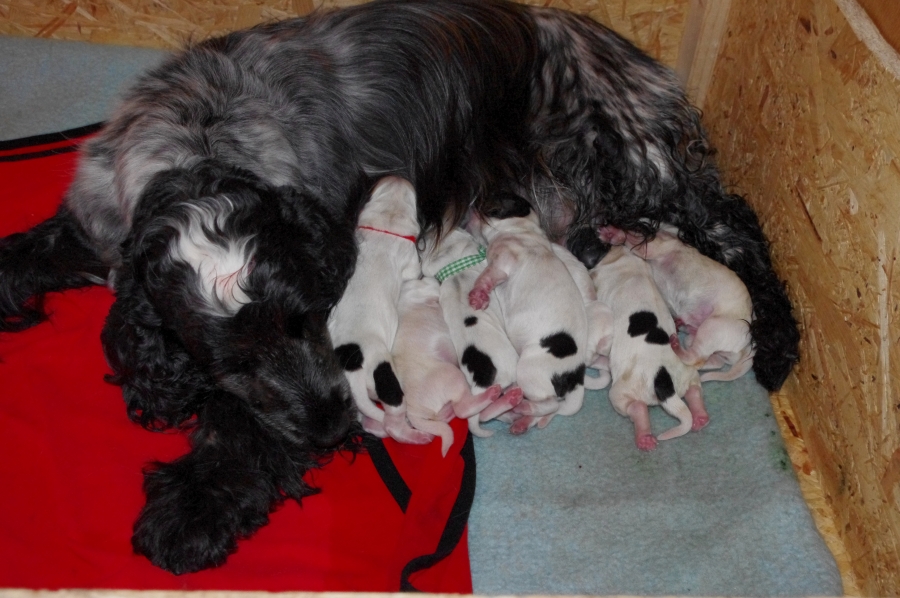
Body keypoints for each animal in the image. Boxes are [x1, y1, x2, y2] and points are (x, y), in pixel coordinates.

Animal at [327, 176, 432, 444]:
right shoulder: (411, 264)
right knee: (393, 420)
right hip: (387, 381)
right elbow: (414, 272)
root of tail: (352, 373)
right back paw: (415, 436)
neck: (388, 220)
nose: (400, 175)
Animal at [392, 277, 517, 456]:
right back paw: (493, 395)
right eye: (421, 278)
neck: (408, 303)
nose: (434, 278)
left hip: (442, 410)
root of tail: (413, 411)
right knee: (463, 409)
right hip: (454, 376)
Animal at [467, 193, 589, 434]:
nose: (473, 201)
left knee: (550, 402)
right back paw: (521, 418)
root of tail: (575, 375)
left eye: (488, 200)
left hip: (527, 370)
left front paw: (478, 295)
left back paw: (521, 406)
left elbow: (485, 276)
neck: (521, 228)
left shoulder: (501, 264)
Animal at [590, 244, 707, 451]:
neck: (624, 262)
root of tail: (663, 381)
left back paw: (643, 435)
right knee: (694, 390)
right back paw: (700, 417)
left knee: (635, 407)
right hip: (686, 373)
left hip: (622, 390)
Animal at [619, 227, 756, 382]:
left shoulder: (653, 248)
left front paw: (615, 232)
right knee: (710, 361)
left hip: (712, 327)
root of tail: (747, 345)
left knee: (694, 358)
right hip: (696, 338)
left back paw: (676, 346)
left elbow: (634, 242)